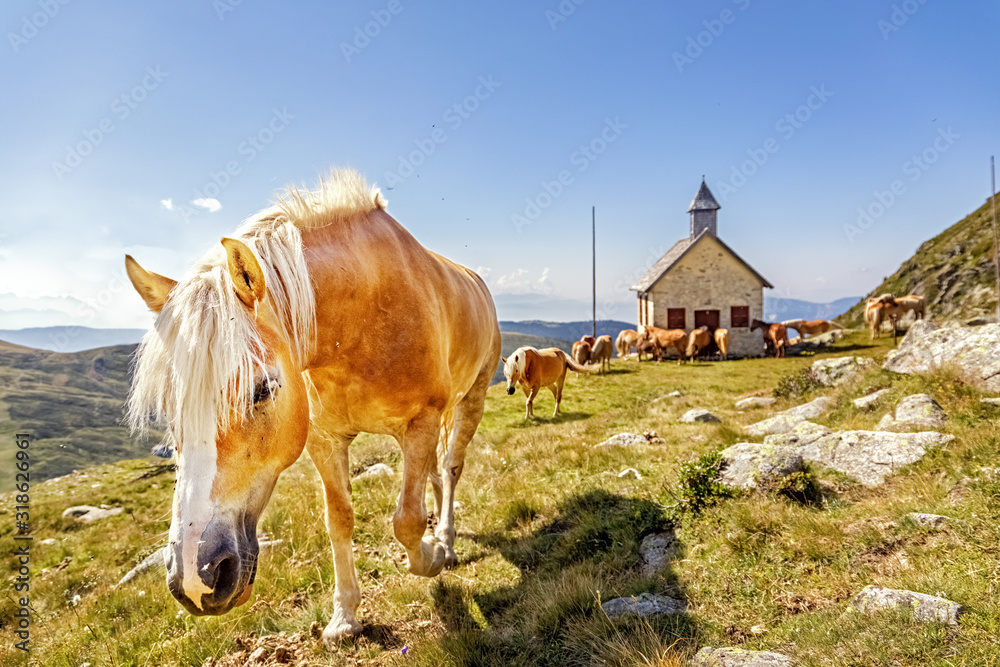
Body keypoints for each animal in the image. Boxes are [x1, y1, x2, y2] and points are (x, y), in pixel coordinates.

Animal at [125, 170, 500, 648]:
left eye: (262, 390)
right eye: (167, 406)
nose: (196, 577)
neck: (364, 318)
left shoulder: (421, 422)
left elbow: (407, 520)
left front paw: (432, 555)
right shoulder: (324, 441)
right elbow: (338, 521)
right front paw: (345, 618)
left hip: (471, 399)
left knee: (451, 468)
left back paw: (447, 541)